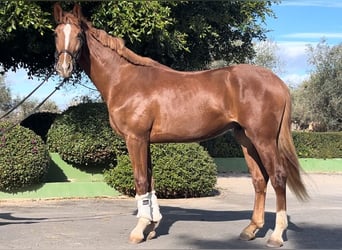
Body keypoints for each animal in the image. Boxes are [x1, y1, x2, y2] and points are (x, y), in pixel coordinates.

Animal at [54, 4, 310, 248]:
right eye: (56, 33)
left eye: (78, 34)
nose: (64, 67)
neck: (124, 79)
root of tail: (277, 82)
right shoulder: (146, 141)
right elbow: (150, 180)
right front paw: (152, 225)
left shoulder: (135, 138)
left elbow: (140, 180)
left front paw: (139, 229)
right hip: (246, 139)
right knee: (259, 179)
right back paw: (251, 229)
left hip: (263, 138)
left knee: (278, 177)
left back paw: (276, 235)